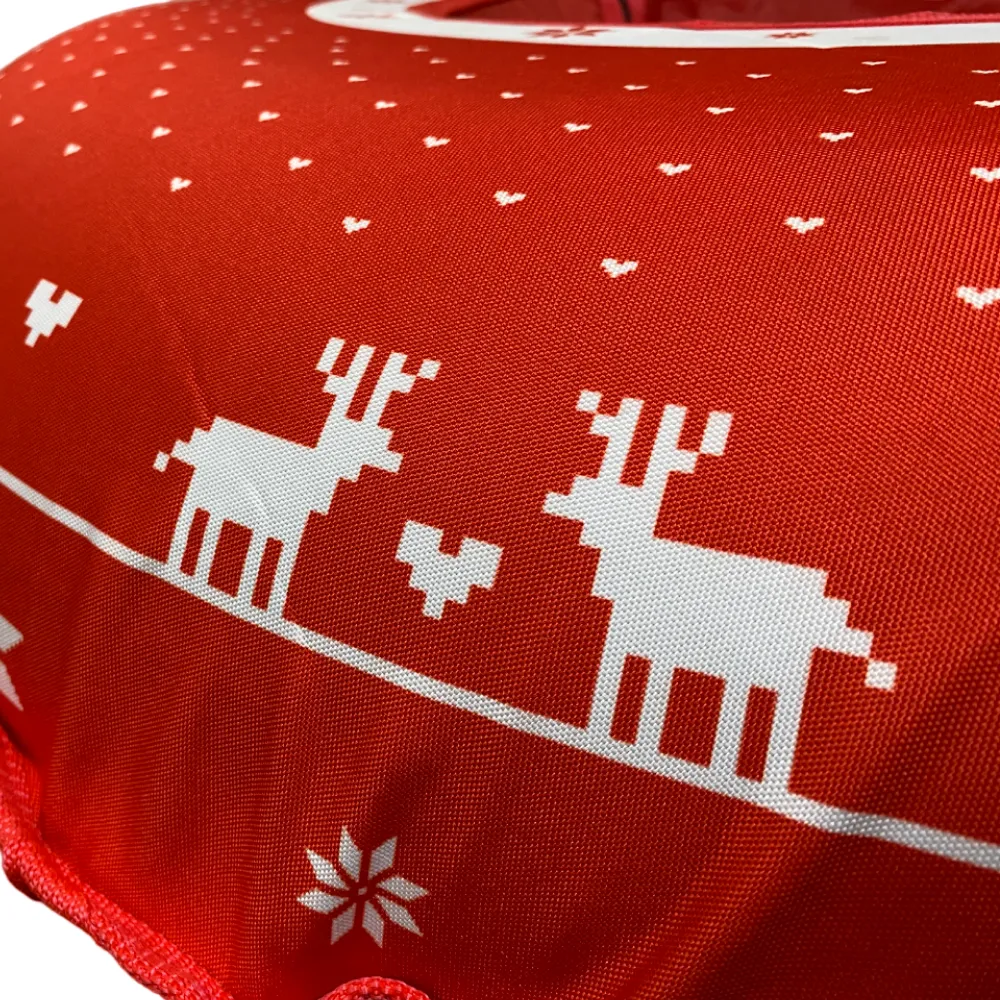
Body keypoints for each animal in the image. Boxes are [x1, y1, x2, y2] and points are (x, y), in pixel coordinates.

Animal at [161, 339, 439, 617]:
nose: (392, 456)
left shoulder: (289, 532)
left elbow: (274, 561)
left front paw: (262, 603)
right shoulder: (270, 521)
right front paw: (255, 603)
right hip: (203, 498)